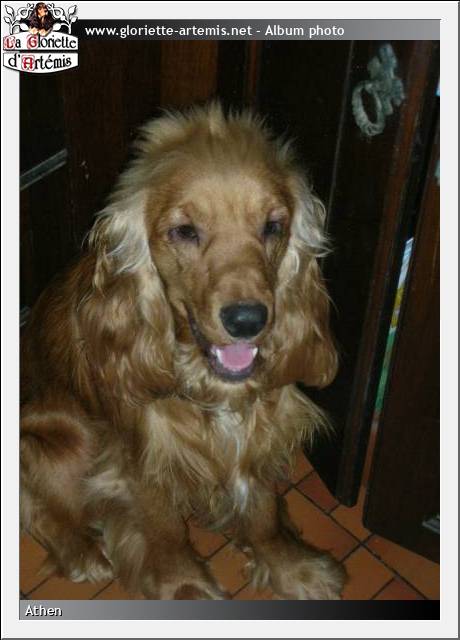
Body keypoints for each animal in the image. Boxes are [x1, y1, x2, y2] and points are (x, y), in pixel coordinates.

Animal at [20, 103, 346, 600]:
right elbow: (165, 532)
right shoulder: (139, 457)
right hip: (60, 444)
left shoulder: (261, 431)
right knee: (38, 506)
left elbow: (264, 513)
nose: (247, 320)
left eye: (273, 227)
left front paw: (293, 568)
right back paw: (82, 552)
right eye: (185, 232)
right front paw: (185, 588)